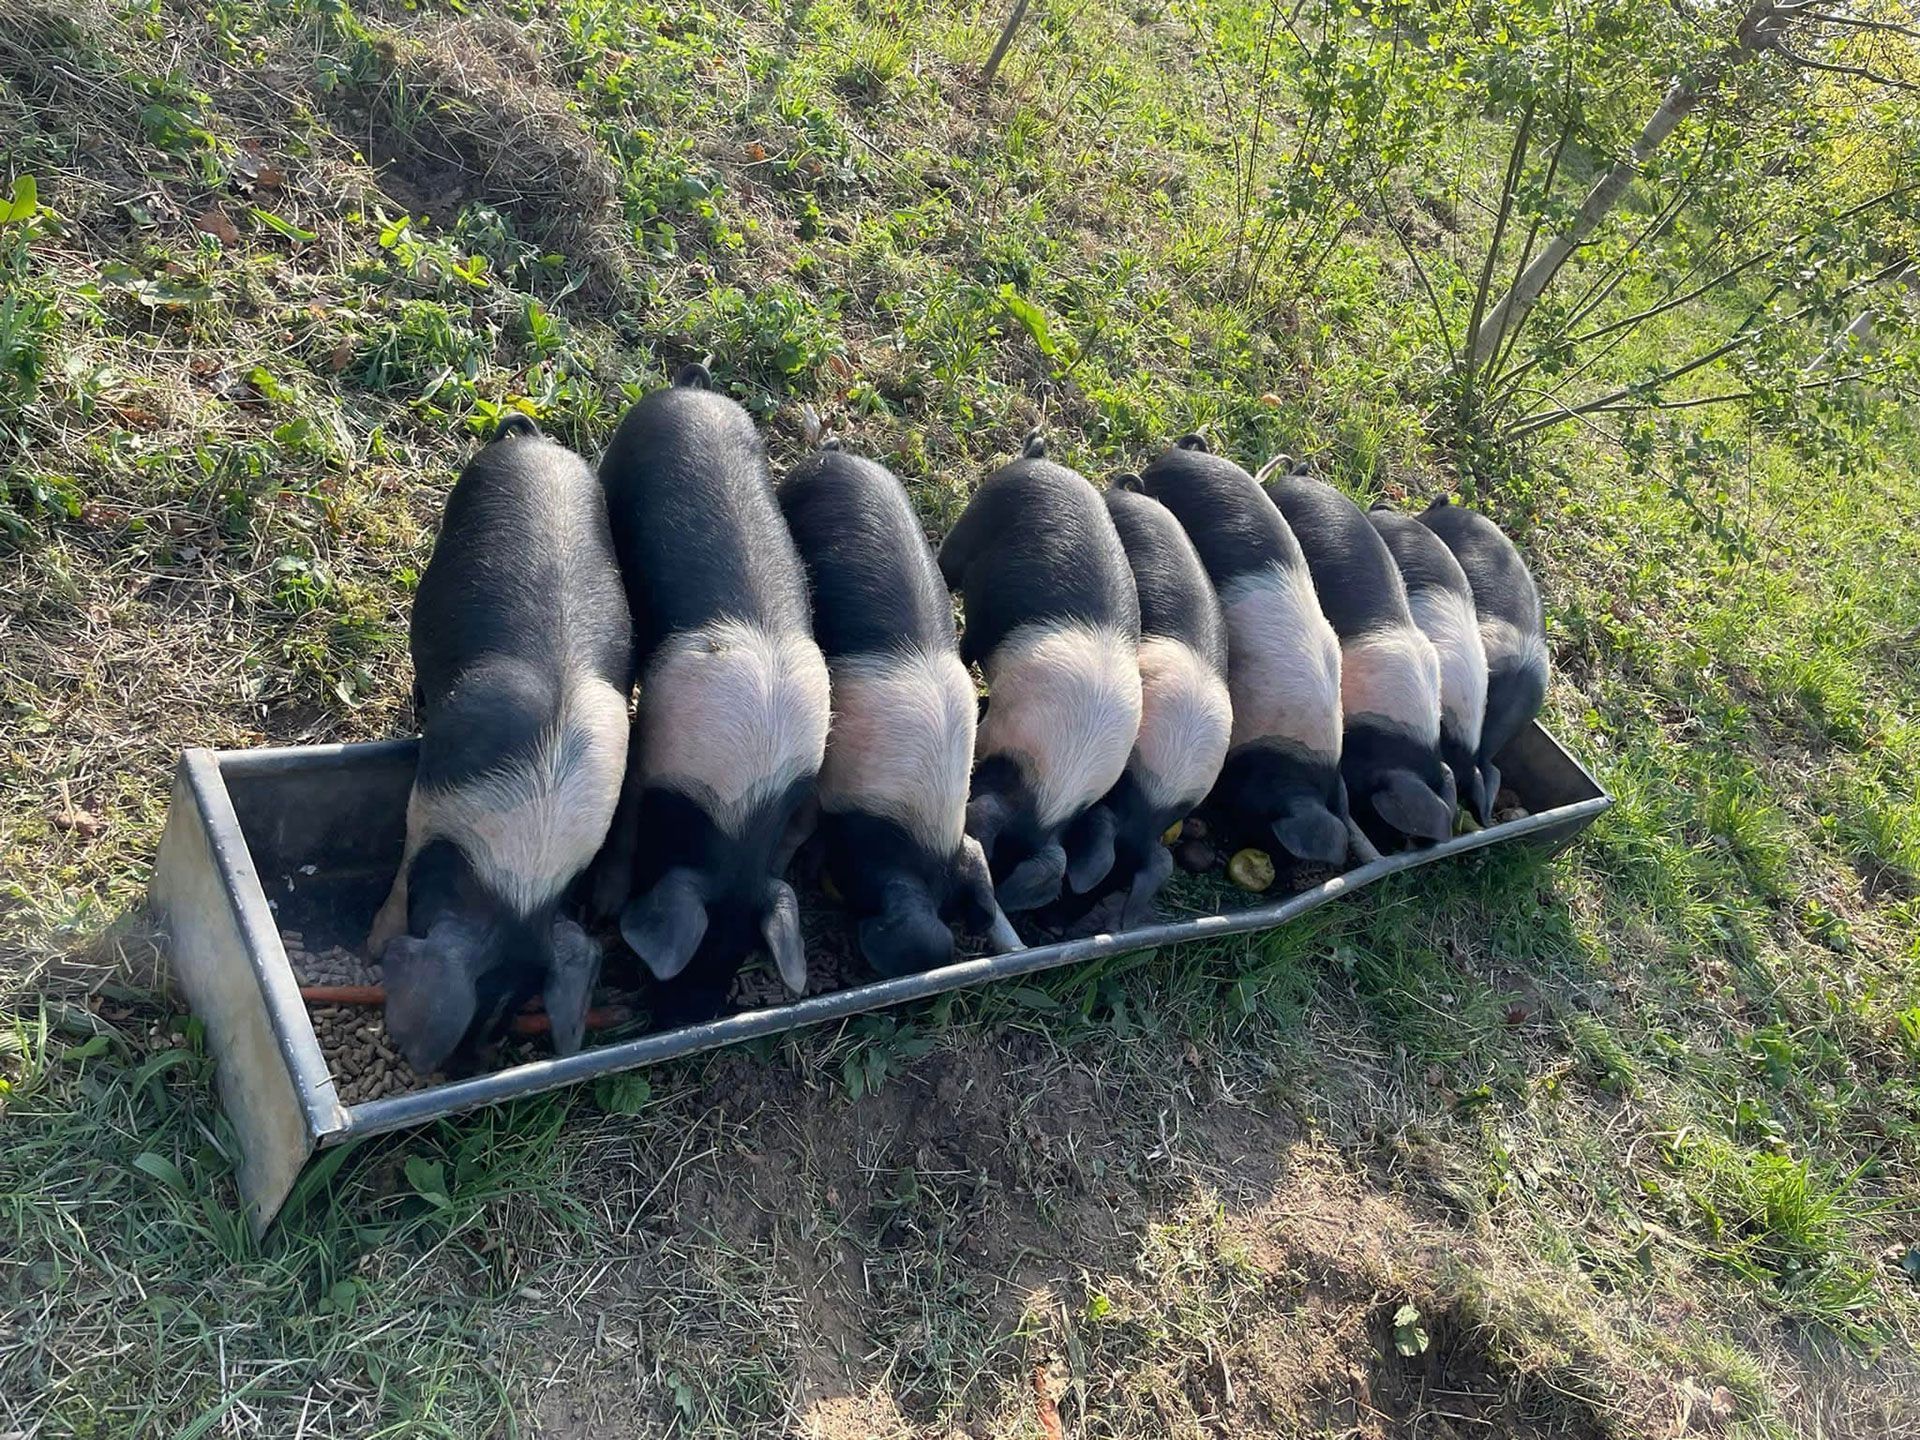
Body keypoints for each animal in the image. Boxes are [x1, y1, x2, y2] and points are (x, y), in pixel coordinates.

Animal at [366, 414, 632, 1074]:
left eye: (514, 1011)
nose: (463, 1064)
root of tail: (533, 442)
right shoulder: (430, 797)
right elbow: (402, 867)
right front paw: (373, 947)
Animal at [590, 364, 830, 1020]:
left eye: (738, 952)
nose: (688, 1014)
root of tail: (691, 390)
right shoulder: (651, 751)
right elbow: (624, 826)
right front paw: (606, 905)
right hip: (618, 456)